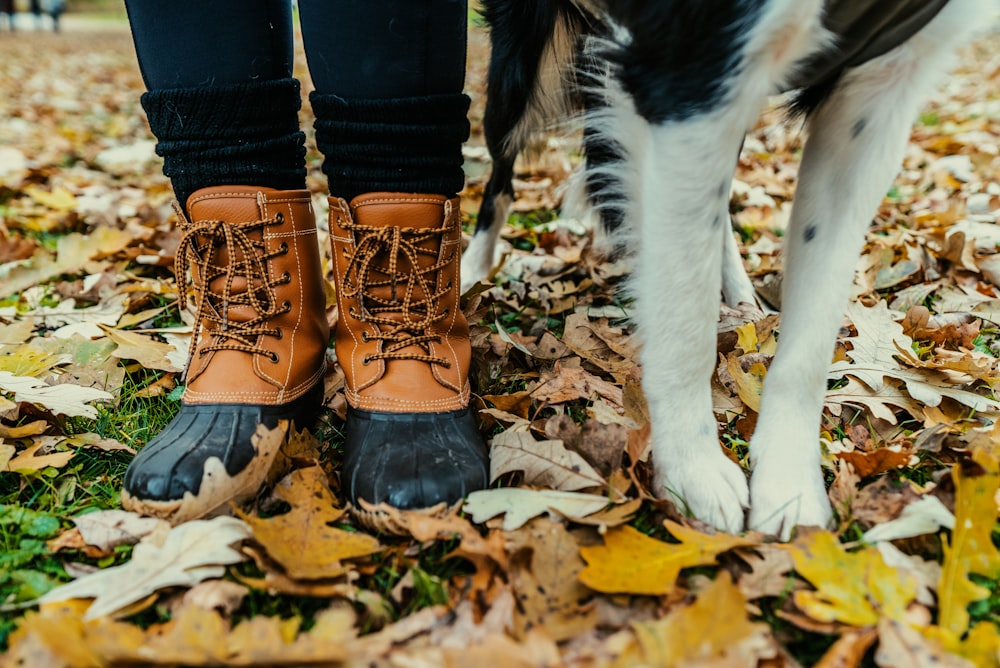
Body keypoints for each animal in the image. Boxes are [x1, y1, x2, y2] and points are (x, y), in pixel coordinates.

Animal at [464, 0, 996, 536]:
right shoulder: (692, 76)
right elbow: (685, 325)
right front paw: (693, 471)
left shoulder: (876, 92)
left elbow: (809, 341)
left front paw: (789, 486)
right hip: (520, 73)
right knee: (500, 173)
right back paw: (469, 274)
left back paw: (740, 295)